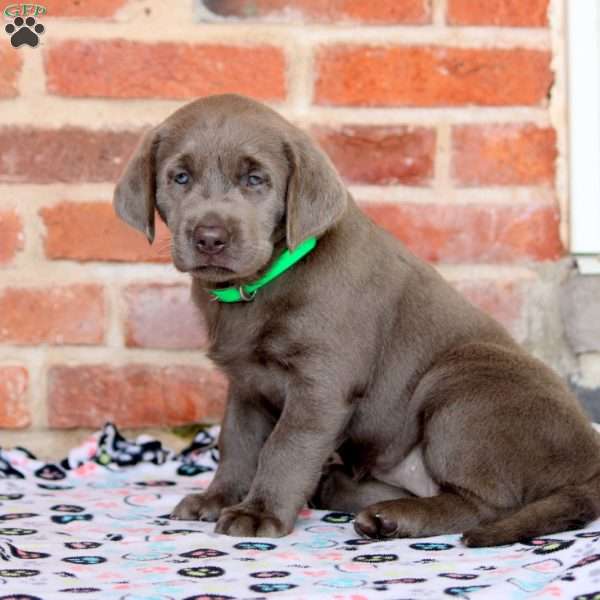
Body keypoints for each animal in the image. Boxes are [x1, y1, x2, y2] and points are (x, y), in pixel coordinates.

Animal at [113, 92, 600, 544]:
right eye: (180, 177)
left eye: (255, 180)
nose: (210, 237)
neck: (260, 286)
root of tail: (591, 464)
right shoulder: (246, 384)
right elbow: (238, 444)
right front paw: (217, 499)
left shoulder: (322, 384)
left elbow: (284, 446)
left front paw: (258, 513)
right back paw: (356, 498)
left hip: (463, 384)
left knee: (485, 504)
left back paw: (394, 517)